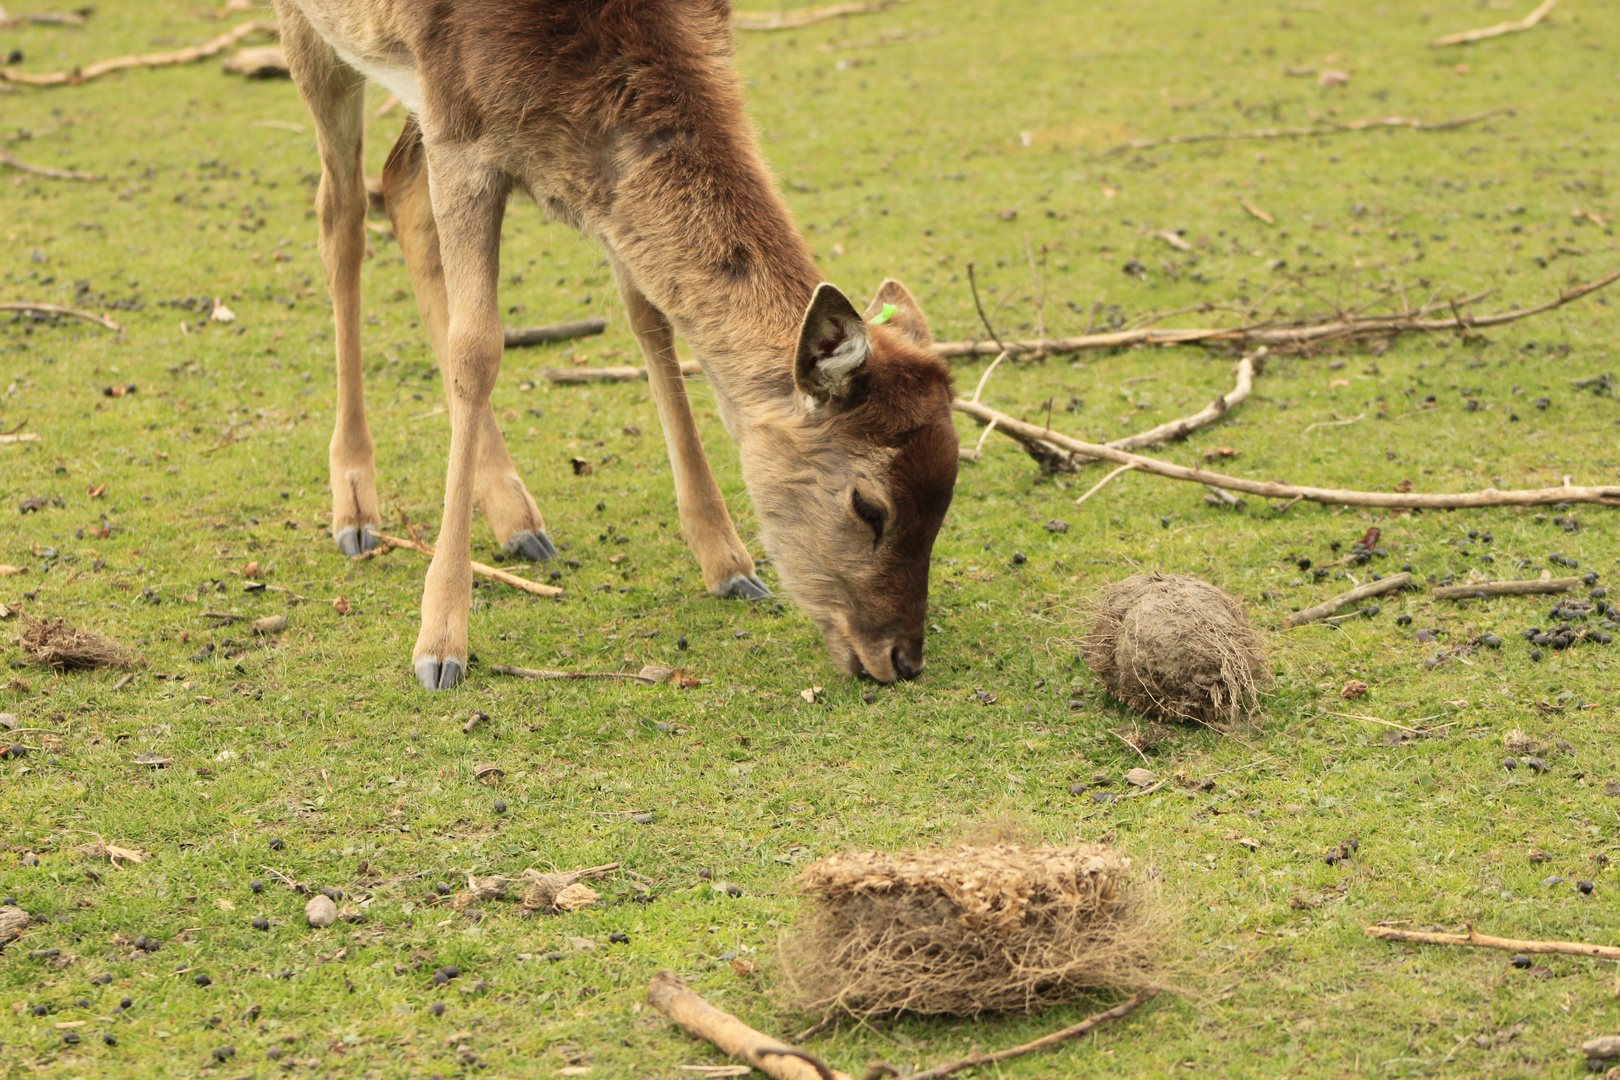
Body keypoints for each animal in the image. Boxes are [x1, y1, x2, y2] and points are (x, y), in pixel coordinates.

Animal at [270, 0, 952, 689]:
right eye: (869, 506)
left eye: (947, 492)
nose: (902, 658)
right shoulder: (459, 135)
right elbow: (477, 350)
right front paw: (439, 646)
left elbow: (649, 315)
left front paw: (729, 564)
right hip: (313, 39)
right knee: (341, 210)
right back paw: (356, 508)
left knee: (399, 184)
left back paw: (517, 520)